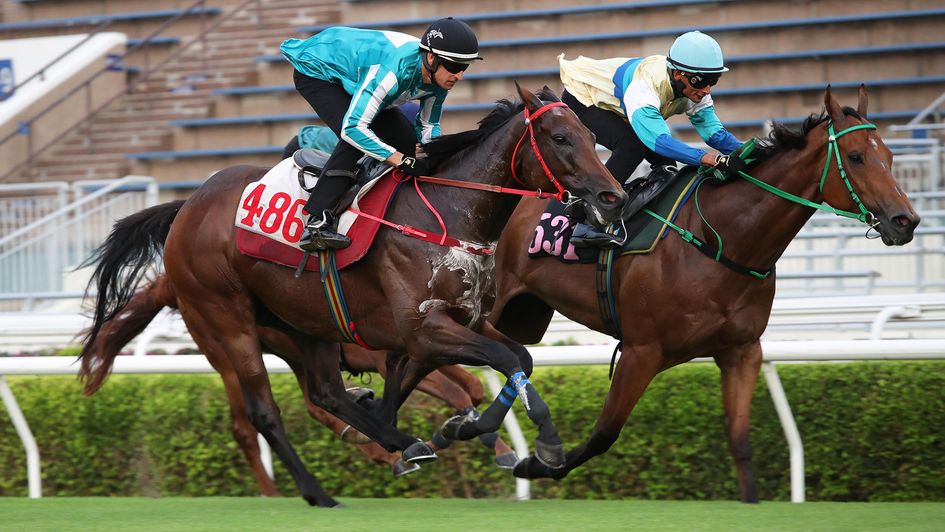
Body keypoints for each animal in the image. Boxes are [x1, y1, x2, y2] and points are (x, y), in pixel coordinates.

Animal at [78, 272, 516, 496]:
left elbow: (471, 385)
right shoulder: (389, 350)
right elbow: (457, 389)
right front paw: (500, 450)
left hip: (292, 349)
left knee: (315, 402)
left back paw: (375, 445)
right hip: (229, 352)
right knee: (246, 425)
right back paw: (275, 491)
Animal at [486, 85, 916, 500]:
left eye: (890, 155)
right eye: (857, 157)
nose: (906, 221)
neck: (723, 239)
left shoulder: (742, 352)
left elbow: (740, 442)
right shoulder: (642, 351)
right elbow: (603, 434)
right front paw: (534, 463)